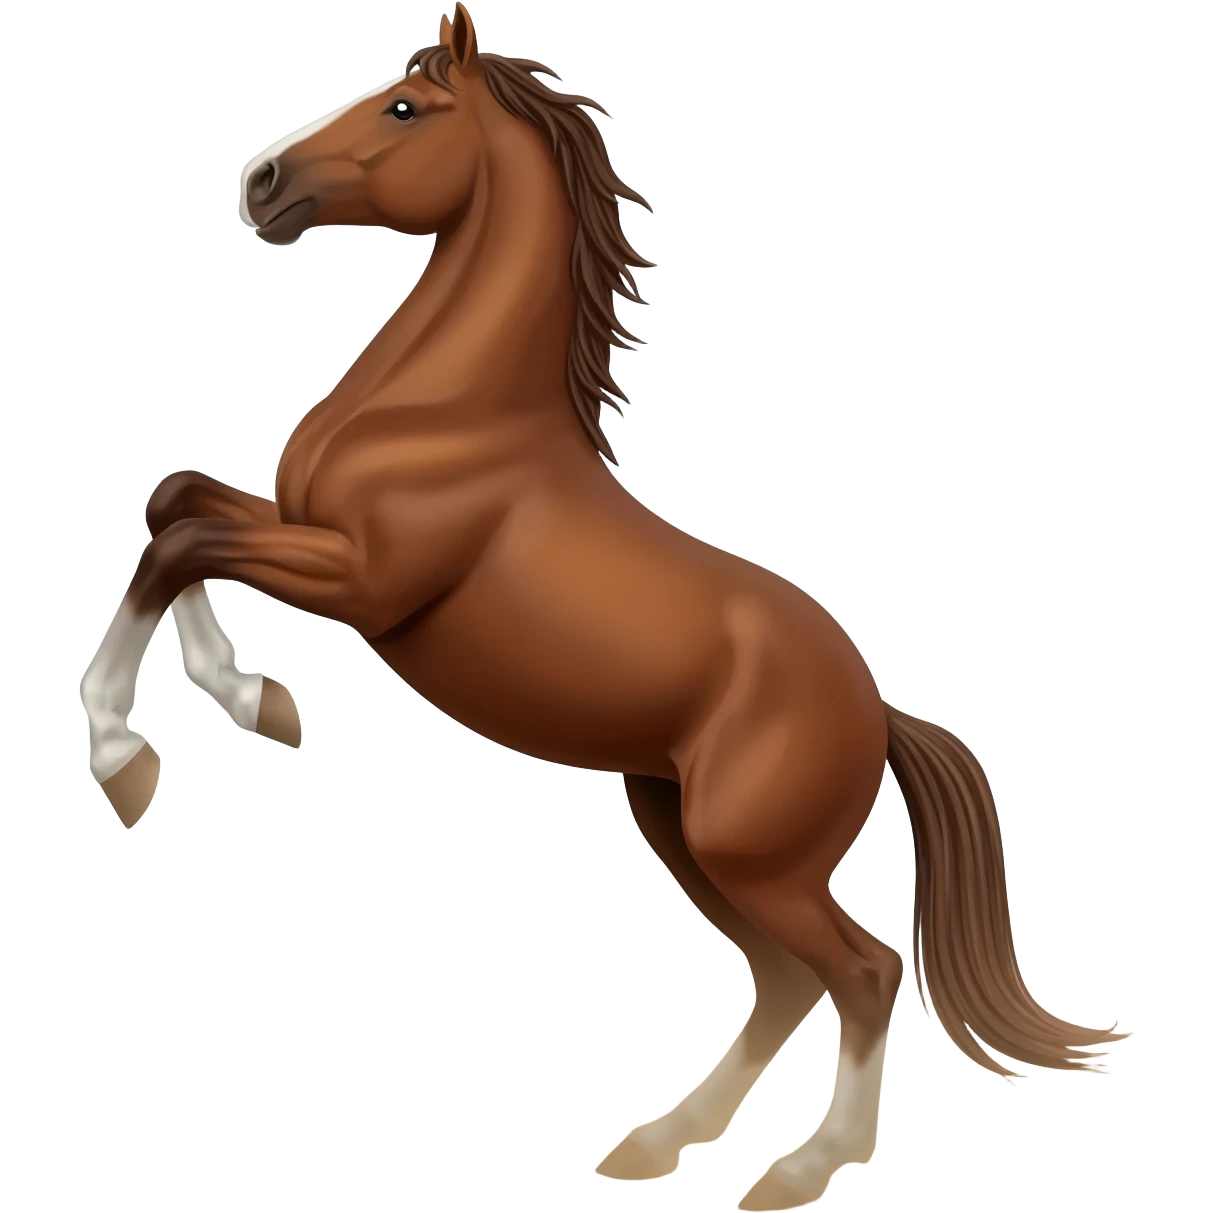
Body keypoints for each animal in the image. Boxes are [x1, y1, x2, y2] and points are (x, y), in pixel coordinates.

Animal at [79, 5, 1132, 1207]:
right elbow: (177, 502)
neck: (448, 412)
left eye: (406, 107)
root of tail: (878, 713)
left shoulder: (363, 581)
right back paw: (655, 1145)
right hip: (678, 826)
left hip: (750, 853)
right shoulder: (303, 534)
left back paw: (799, 1170)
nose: (263, 186)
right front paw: (253, 702)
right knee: (785, 979)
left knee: (862, 970)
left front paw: (133, 756)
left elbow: (182, 544)